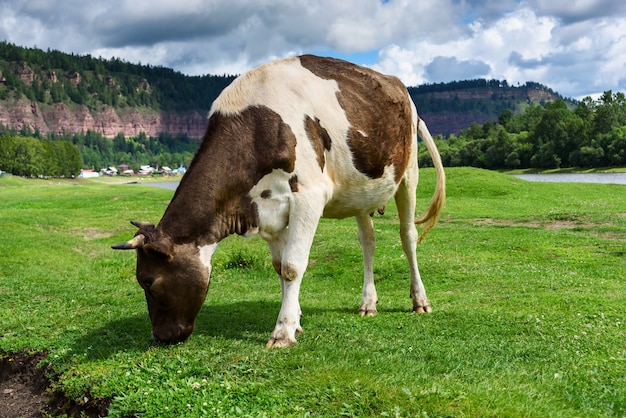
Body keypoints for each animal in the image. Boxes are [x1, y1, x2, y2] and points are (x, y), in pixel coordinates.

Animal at [112, 55, 444, 350]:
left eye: (147, 281)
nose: (161, 336)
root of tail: (400, 88)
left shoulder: (308, 196)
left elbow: (292, 266)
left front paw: (283, 331)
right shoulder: (265, 210)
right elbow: (278, 266)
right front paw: (294, 318)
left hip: (409, 174)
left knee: (408, 237)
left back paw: (420, 300)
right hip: (360, 192)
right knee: (368, 242)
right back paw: (368, 303)